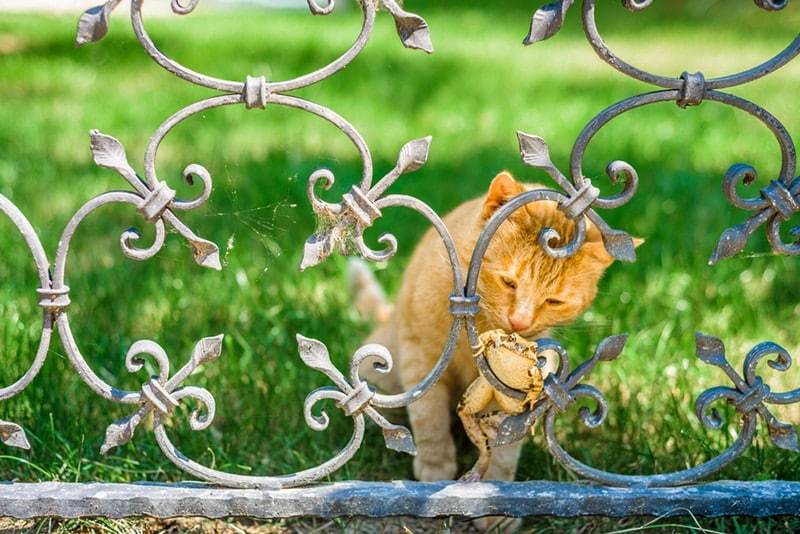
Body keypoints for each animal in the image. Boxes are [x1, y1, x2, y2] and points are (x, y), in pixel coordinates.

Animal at [354, 173, 636, 486]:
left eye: (554, 301)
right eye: (509, 282)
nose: (520, 322)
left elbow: (507, 441)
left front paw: (496, 485)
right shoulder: (419, 354)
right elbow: (429, 416)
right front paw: (435, 467)